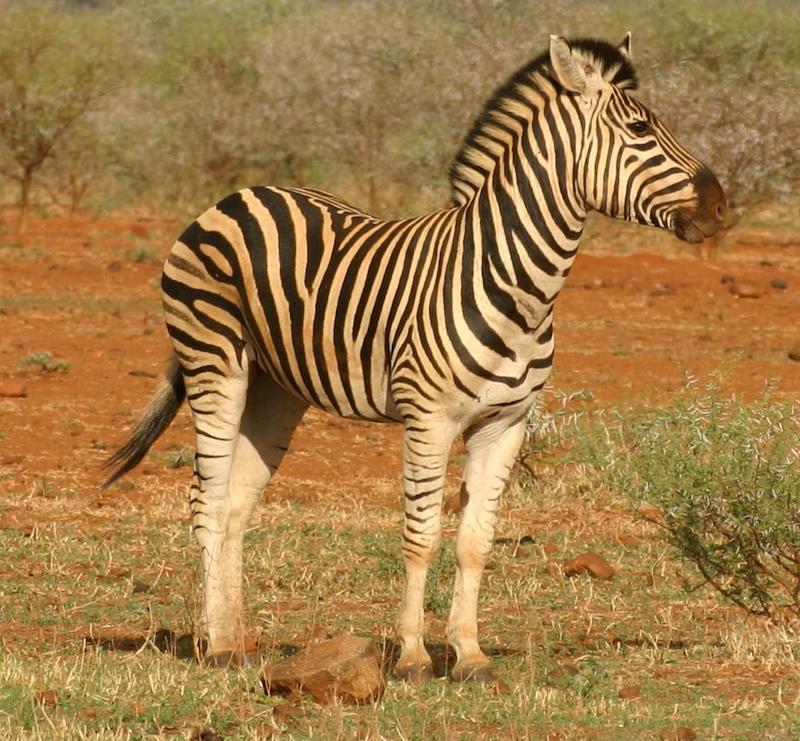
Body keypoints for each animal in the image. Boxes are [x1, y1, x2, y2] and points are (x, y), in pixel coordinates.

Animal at [105, 34, 726, 682]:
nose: (722, 208)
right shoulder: (430, 419)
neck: (515, 282)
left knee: (234, 505)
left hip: (276, 389)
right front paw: (412, 656)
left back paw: (237, 638)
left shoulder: (505, 423)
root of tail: (239, 194)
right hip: (215, 362)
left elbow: (476, 541)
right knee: (206, 500)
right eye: (639, 130)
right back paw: (218, 647)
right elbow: (422, 535)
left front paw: (471, 654)